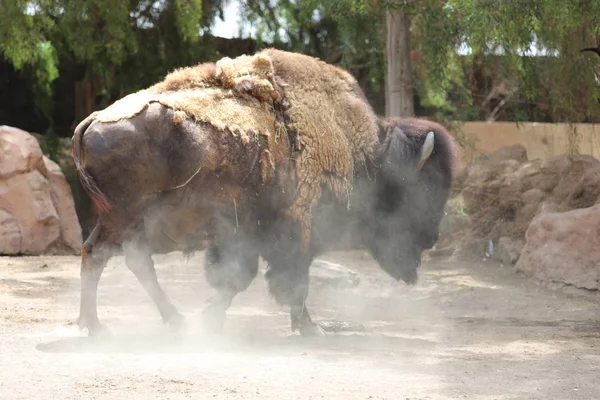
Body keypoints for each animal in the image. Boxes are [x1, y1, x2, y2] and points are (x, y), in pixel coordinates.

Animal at [71, 49, 454, 338]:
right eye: (425, 188)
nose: (434, 237)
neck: (361, 154)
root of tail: (91, 120)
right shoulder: (295, 230)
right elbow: (286, 281)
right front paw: (310, 329)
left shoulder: (244, 236)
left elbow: (239, 278)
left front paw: (211, 320)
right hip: (123, 218)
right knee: (103, 256)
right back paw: (104, 326)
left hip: (127, 222)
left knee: (118, 258)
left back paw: (152, 321)